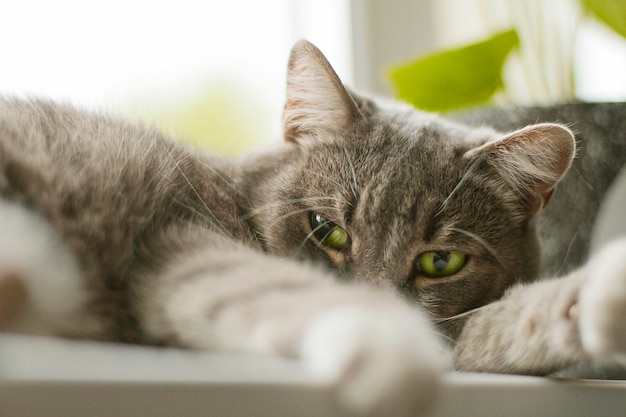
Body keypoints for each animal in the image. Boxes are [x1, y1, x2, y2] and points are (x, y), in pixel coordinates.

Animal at [1, 39, 624, 416]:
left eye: (440, 261)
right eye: (328, 230)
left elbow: (494, 325)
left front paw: (595, 298)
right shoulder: (178, 239)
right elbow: (282, 290)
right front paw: (392, 359)